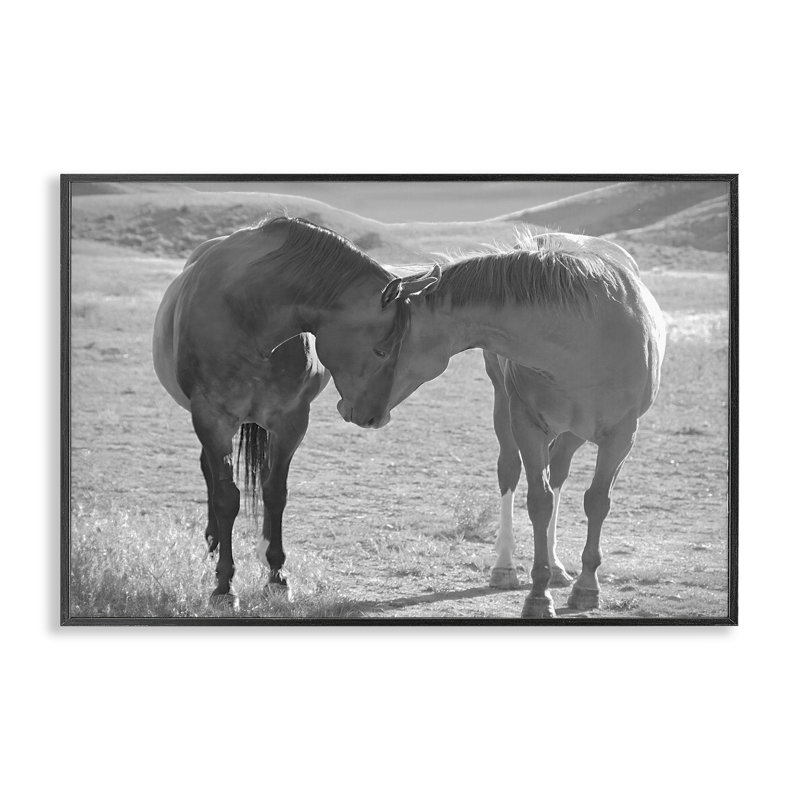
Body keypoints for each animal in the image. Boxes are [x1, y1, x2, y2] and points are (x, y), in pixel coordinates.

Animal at [152, 217, 436, 609]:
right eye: (382, 350)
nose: (376, 417)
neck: (249, 314)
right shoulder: (211, 418)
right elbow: (227, 497)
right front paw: (224, 585)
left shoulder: (290, 421)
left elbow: (275, 492)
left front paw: (276, 576)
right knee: (210, 472)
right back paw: (213, 541)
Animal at [340, 232, 667, 618]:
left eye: (379, 349)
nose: (350, 409)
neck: (586, 337)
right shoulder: (526, 424)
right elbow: (539, 502)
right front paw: (538, 596)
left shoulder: (621, 436)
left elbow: (597, 502)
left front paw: (587, 587)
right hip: (506, 407)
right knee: (510, 471)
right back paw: (506, 567)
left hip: (574, 432)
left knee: (559, 473)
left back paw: (558, 567)